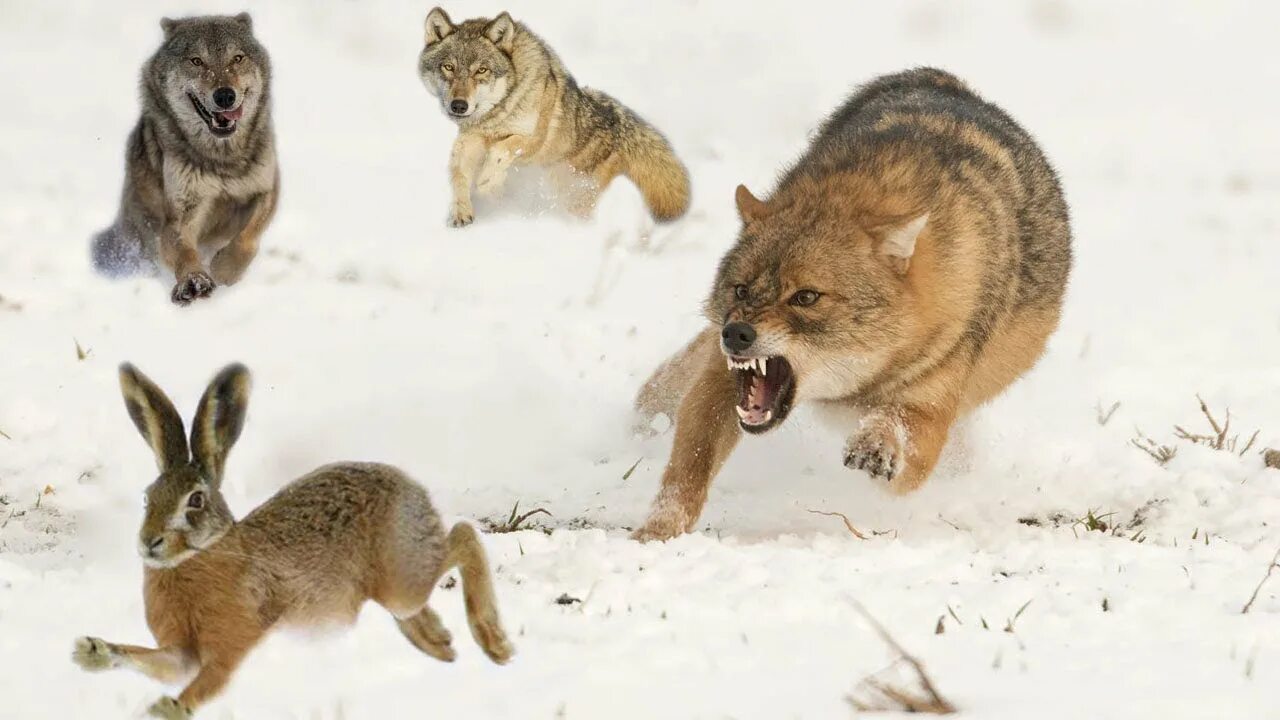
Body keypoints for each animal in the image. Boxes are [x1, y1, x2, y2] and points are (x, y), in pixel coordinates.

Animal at [90, 14, 280, 303]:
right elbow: (185, 253)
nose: (225, 95)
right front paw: (194, 281)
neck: (222, 160)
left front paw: (224, 270)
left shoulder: (266, 190)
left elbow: (247, 239)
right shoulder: (180, 217)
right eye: (196, 61)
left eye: (237, 58)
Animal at [417, 7, 691, 225]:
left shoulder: (532, 140)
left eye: (481, 70)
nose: (458, 106)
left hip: (573, 193)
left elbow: (500, 151)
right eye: (448, 67)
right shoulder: (470, 140)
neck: (498, 114)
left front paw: (487, 182)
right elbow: (458, 174)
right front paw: (461, 211)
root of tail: (621, 122)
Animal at [634, 67, 1075, 538]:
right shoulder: (724, 382)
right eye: (741, 290)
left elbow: (896, 428)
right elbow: (687, 470)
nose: (736, 334)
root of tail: (945, 80)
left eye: (806, 297)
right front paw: (654, 536)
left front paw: (875, 443)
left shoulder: (928, 422)